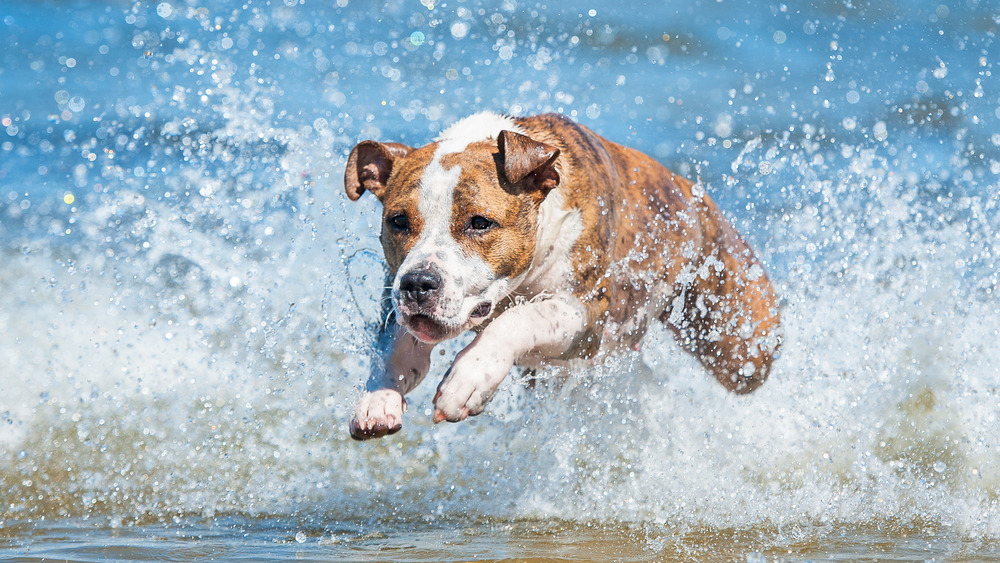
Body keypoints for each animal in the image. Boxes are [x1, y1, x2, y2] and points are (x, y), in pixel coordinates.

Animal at [344, 112, 780, 440]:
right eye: (398, 221)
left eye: (480, 222)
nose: (419, 283)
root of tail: (692, 192)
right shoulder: (394, 298)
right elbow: (393, 346)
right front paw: (377, 398)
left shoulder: (585, 316)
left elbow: (518, 320)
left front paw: (467, 379)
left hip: (741, 343)